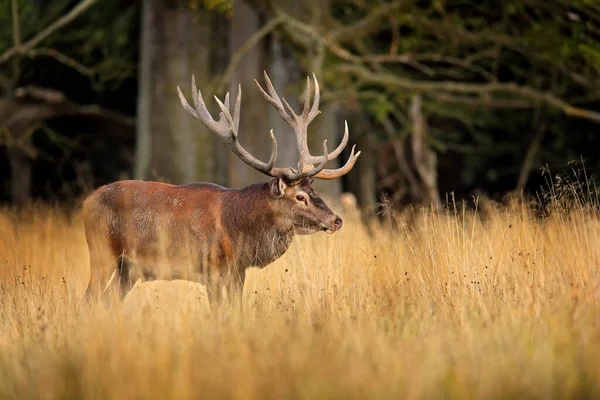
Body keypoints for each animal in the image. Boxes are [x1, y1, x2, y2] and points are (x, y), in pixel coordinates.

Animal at [81, 72, 358, 308]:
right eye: (300, 197)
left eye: (313, 191)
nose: (336, 220)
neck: (237, 229)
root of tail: (87, 203)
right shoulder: (210, 269)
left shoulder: (238, 271)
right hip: (101, 251)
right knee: (89, 299)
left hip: (128, 269)